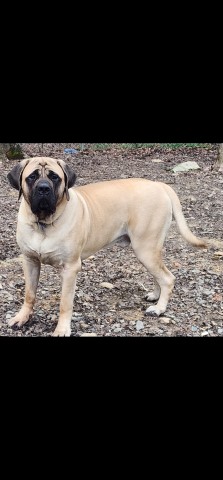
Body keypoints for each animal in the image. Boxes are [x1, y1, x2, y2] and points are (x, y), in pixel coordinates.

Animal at [6, 156, 208, 336]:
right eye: (31, 177)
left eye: (55, 177)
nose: (43, 188)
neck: (43, 224)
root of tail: (159, 185)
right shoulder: (30, 261)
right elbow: (29, 294)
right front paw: (22, 317)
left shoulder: (70, 268)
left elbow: (65, 303)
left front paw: (62, 330)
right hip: (149, 250)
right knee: (159, 274)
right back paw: (155, 296)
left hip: (145, 248)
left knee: (168, 278)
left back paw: (159, 309)